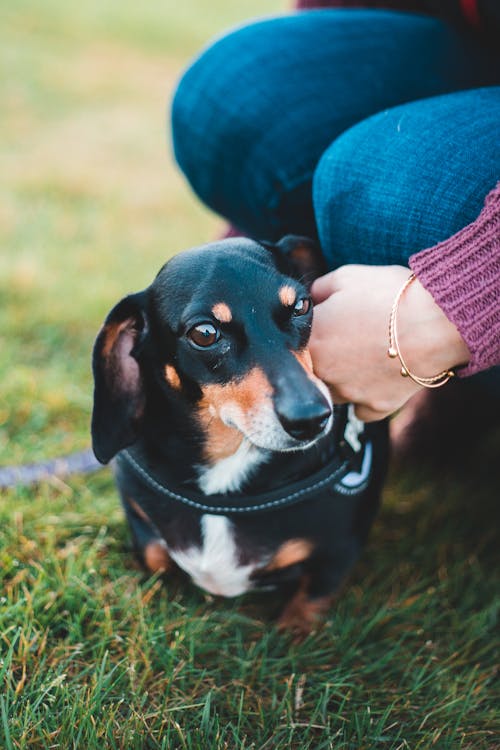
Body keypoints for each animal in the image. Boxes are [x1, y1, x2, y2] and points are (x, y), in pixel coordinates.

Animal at [92, 235, 388, 636]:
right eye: (204, 333)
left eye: (301, 305)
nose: (312, 418)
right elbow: (153, 553)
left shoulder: (337, 550)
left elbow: (308, 603)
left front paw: (293, 632)